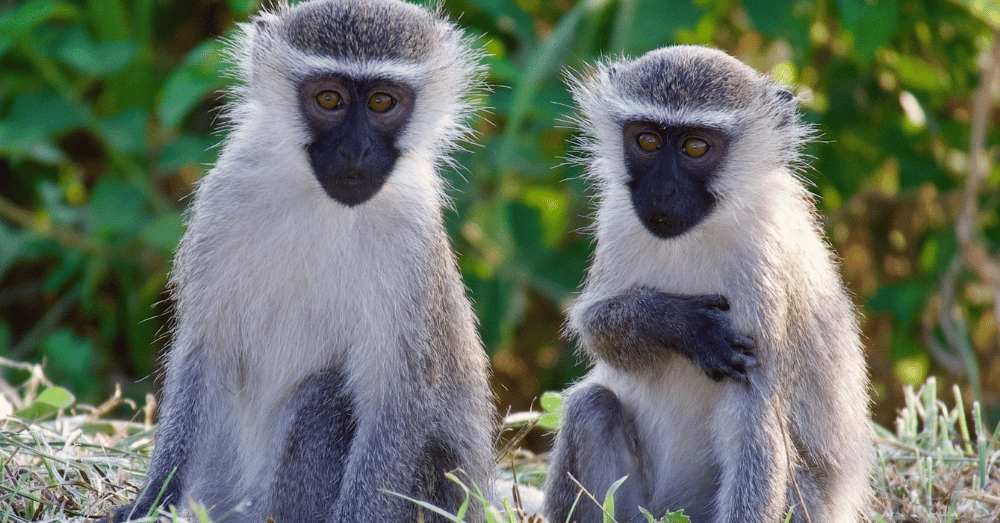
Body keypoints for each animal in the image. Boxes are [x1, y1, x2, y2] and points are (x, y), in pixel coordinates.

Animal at [101, 1, 494, 521]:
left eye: (382, 103)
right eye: (329, 99)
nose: (356, 150)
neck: (321, 204)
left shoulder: (413, 242)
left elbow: (399, 400)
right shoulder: (222, 204)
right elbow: (205, 353)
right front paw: (153, 500)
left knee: (324, 399)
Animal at [543, 46, 872, 523]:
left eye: (696, 146)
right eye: (647, 140)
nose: (661, 192)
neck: (698, 233)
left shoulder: (763, 267)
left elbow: (755, 419)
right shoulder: (617, 220)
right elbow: (594, 326)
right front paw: (677, 324)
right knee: (592, 408)